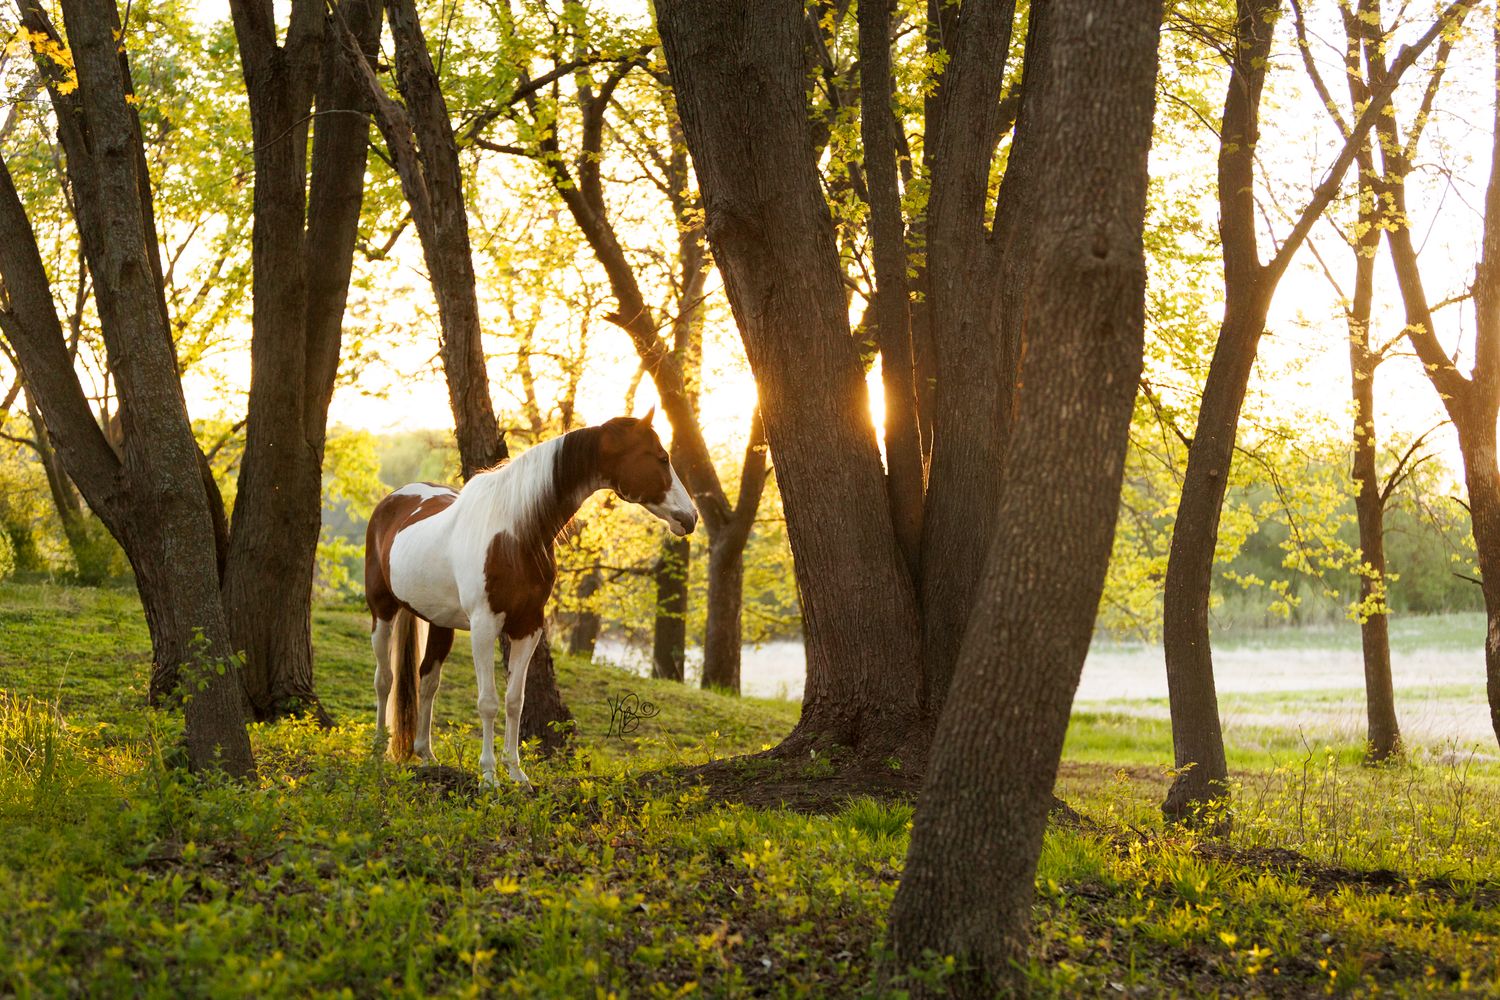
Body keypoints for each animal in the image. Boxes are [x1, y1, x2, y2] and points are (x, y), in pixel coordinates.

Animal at [363, 410, 697, 788]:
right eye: (661, 457)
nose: (691, 517)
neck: (515, 533)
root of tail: (395, 499)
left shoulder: (529, 626)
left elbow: (515, 701)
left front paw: (517, 773)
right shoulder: (484, 627)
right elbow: (488, 702)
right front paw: (489, 776)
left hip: (439, 622)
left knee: (427, 679)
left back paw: (426, 755)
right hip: (382, 611)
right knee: (385, 678)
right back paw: (377, 749)